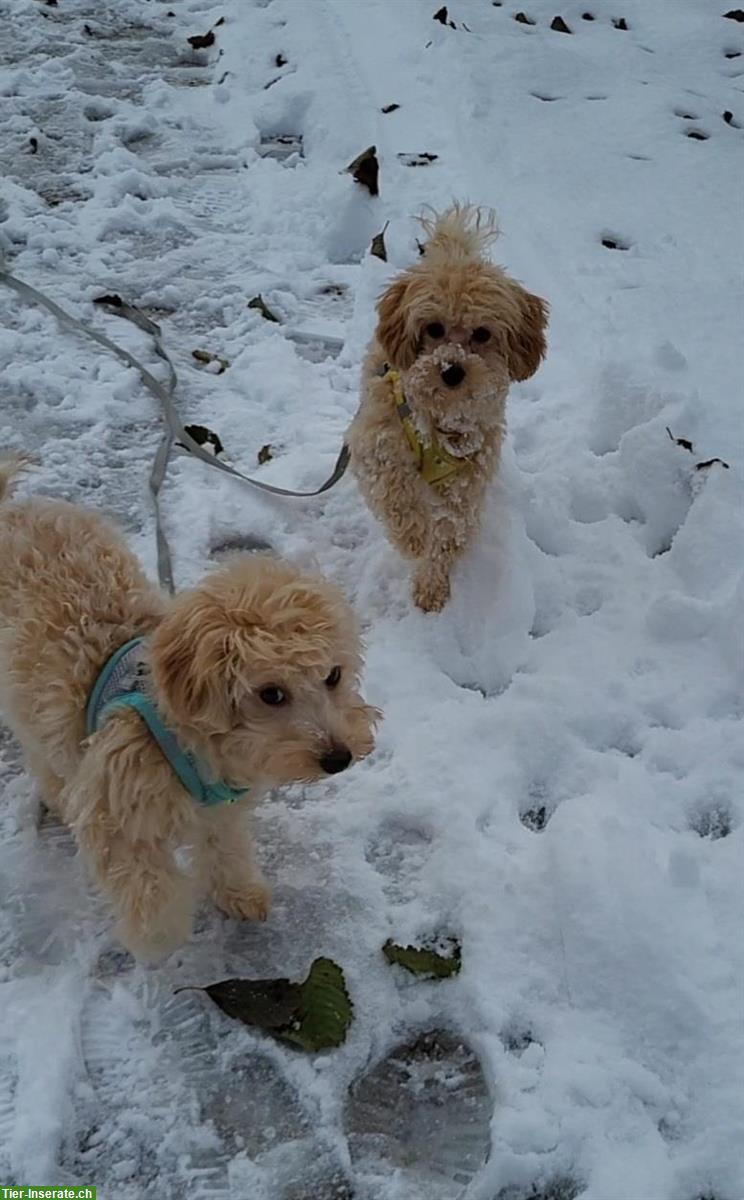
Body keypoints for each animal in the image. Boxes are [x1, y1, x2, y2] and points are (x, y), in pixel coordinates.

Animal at [0, 453, 376, 960]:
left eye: (332, 675)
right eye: (271, 693)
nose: (339, 758)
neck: (185, 738)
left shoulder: (219, 808)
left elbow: (224, 847)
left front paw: (238, 892)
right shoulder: (114, 810)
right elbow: (145, 883)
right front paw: (157, 937)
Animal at [348, 204, 547, 609]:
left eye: (483, 333)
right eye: (433, 328)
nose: (452, 370)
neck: (439, 421)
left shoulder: (467, 480)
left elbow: (449, 532)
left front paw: (432, 583)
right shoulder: (376, 445)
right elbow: (396, 496)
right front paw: (414, 539)